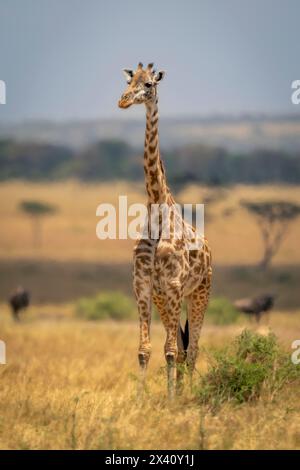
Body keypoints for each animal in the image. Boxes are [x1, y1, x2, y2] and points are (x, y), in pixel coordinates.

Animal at [117, 62, 211, 396]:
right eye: (129, 82)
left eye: (148, 85)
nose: (122, 101)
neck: (157, 212)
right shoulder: (143, 286)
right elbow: (145, 349)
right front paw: (140, 398)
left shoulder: (173, 286)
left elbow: (170, 349)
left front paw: (170, 400)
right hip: (165, 299)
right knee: (182, 348)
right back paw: (181, 391)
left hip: (199, 292)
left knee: (191, 349)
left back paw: (187, 394)